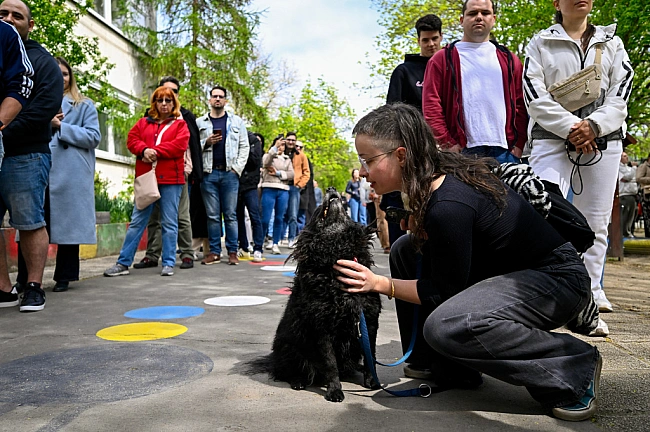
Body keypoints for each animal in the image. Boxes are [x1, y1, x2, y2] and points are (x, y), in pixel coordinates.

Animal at [247, 187, 382, 402]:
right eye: (318, 208)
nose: (331, 188)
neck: (337, 256)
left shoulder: (369, 321)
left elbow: (372, 356)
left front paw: (372, 381)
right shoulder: (322, 327)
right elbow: (330, 364)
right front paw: (334, 391)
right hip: (291, 348)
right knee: (287, 372)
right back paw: (298, 381)